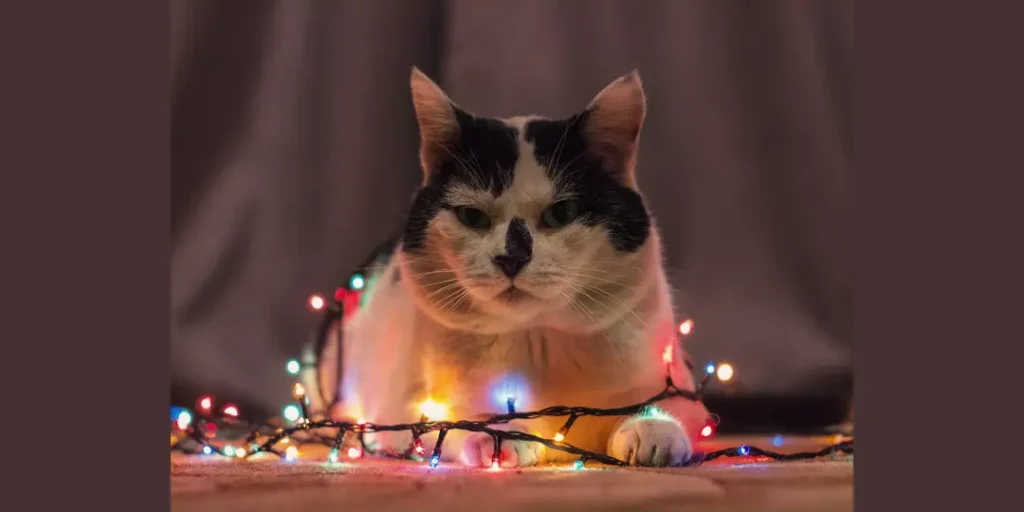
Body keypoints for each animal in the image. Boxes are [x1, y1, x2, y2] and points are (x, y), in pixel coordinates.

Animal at [315, 68, 708, 468]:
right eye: (472, 216)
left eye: (561, 213)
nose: (511, 257)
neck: (536, 340)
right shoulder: (404, 406)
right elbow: (447, 419)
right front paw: (498, 435)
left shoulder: (678, 384)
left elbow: (666, 406)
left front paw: (653, 430)